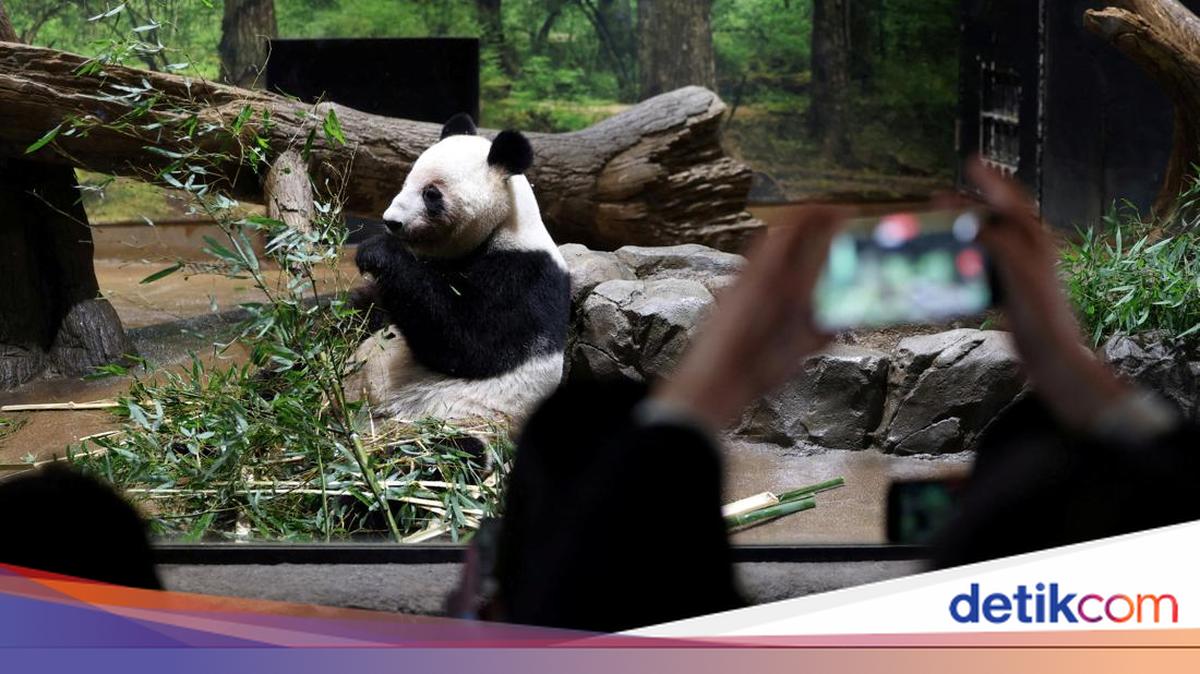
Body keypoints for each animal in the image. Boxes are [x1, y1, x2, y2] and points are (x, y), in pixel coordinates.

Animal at [345, 114, 570, 427]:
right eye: (405, 182)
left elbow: (470, 343)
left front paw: (377, 251)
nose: (391, 221)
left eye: (431, 193)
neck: (502, 225)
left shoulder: (525, 275)